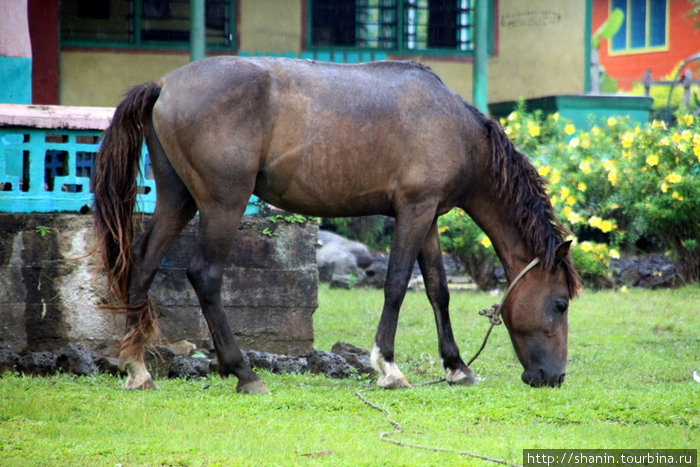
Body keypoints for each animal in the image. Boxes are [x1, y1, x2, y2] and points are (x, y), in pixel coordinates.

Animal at [94, 58, 580, 394]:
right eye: (560, 304)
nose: (553, 376)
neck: (456, 129)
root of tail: (164, 84)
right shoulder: (414, 211)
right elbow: (397, 284)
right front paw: (388, 367)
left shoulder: (428, 218)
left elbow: (438, 291)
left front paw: (457, 366)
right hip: (222, 204)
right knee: (205, 275)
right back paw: (244, 373)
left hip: (178, 201)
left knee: (143, 263)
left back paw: (137, 368)